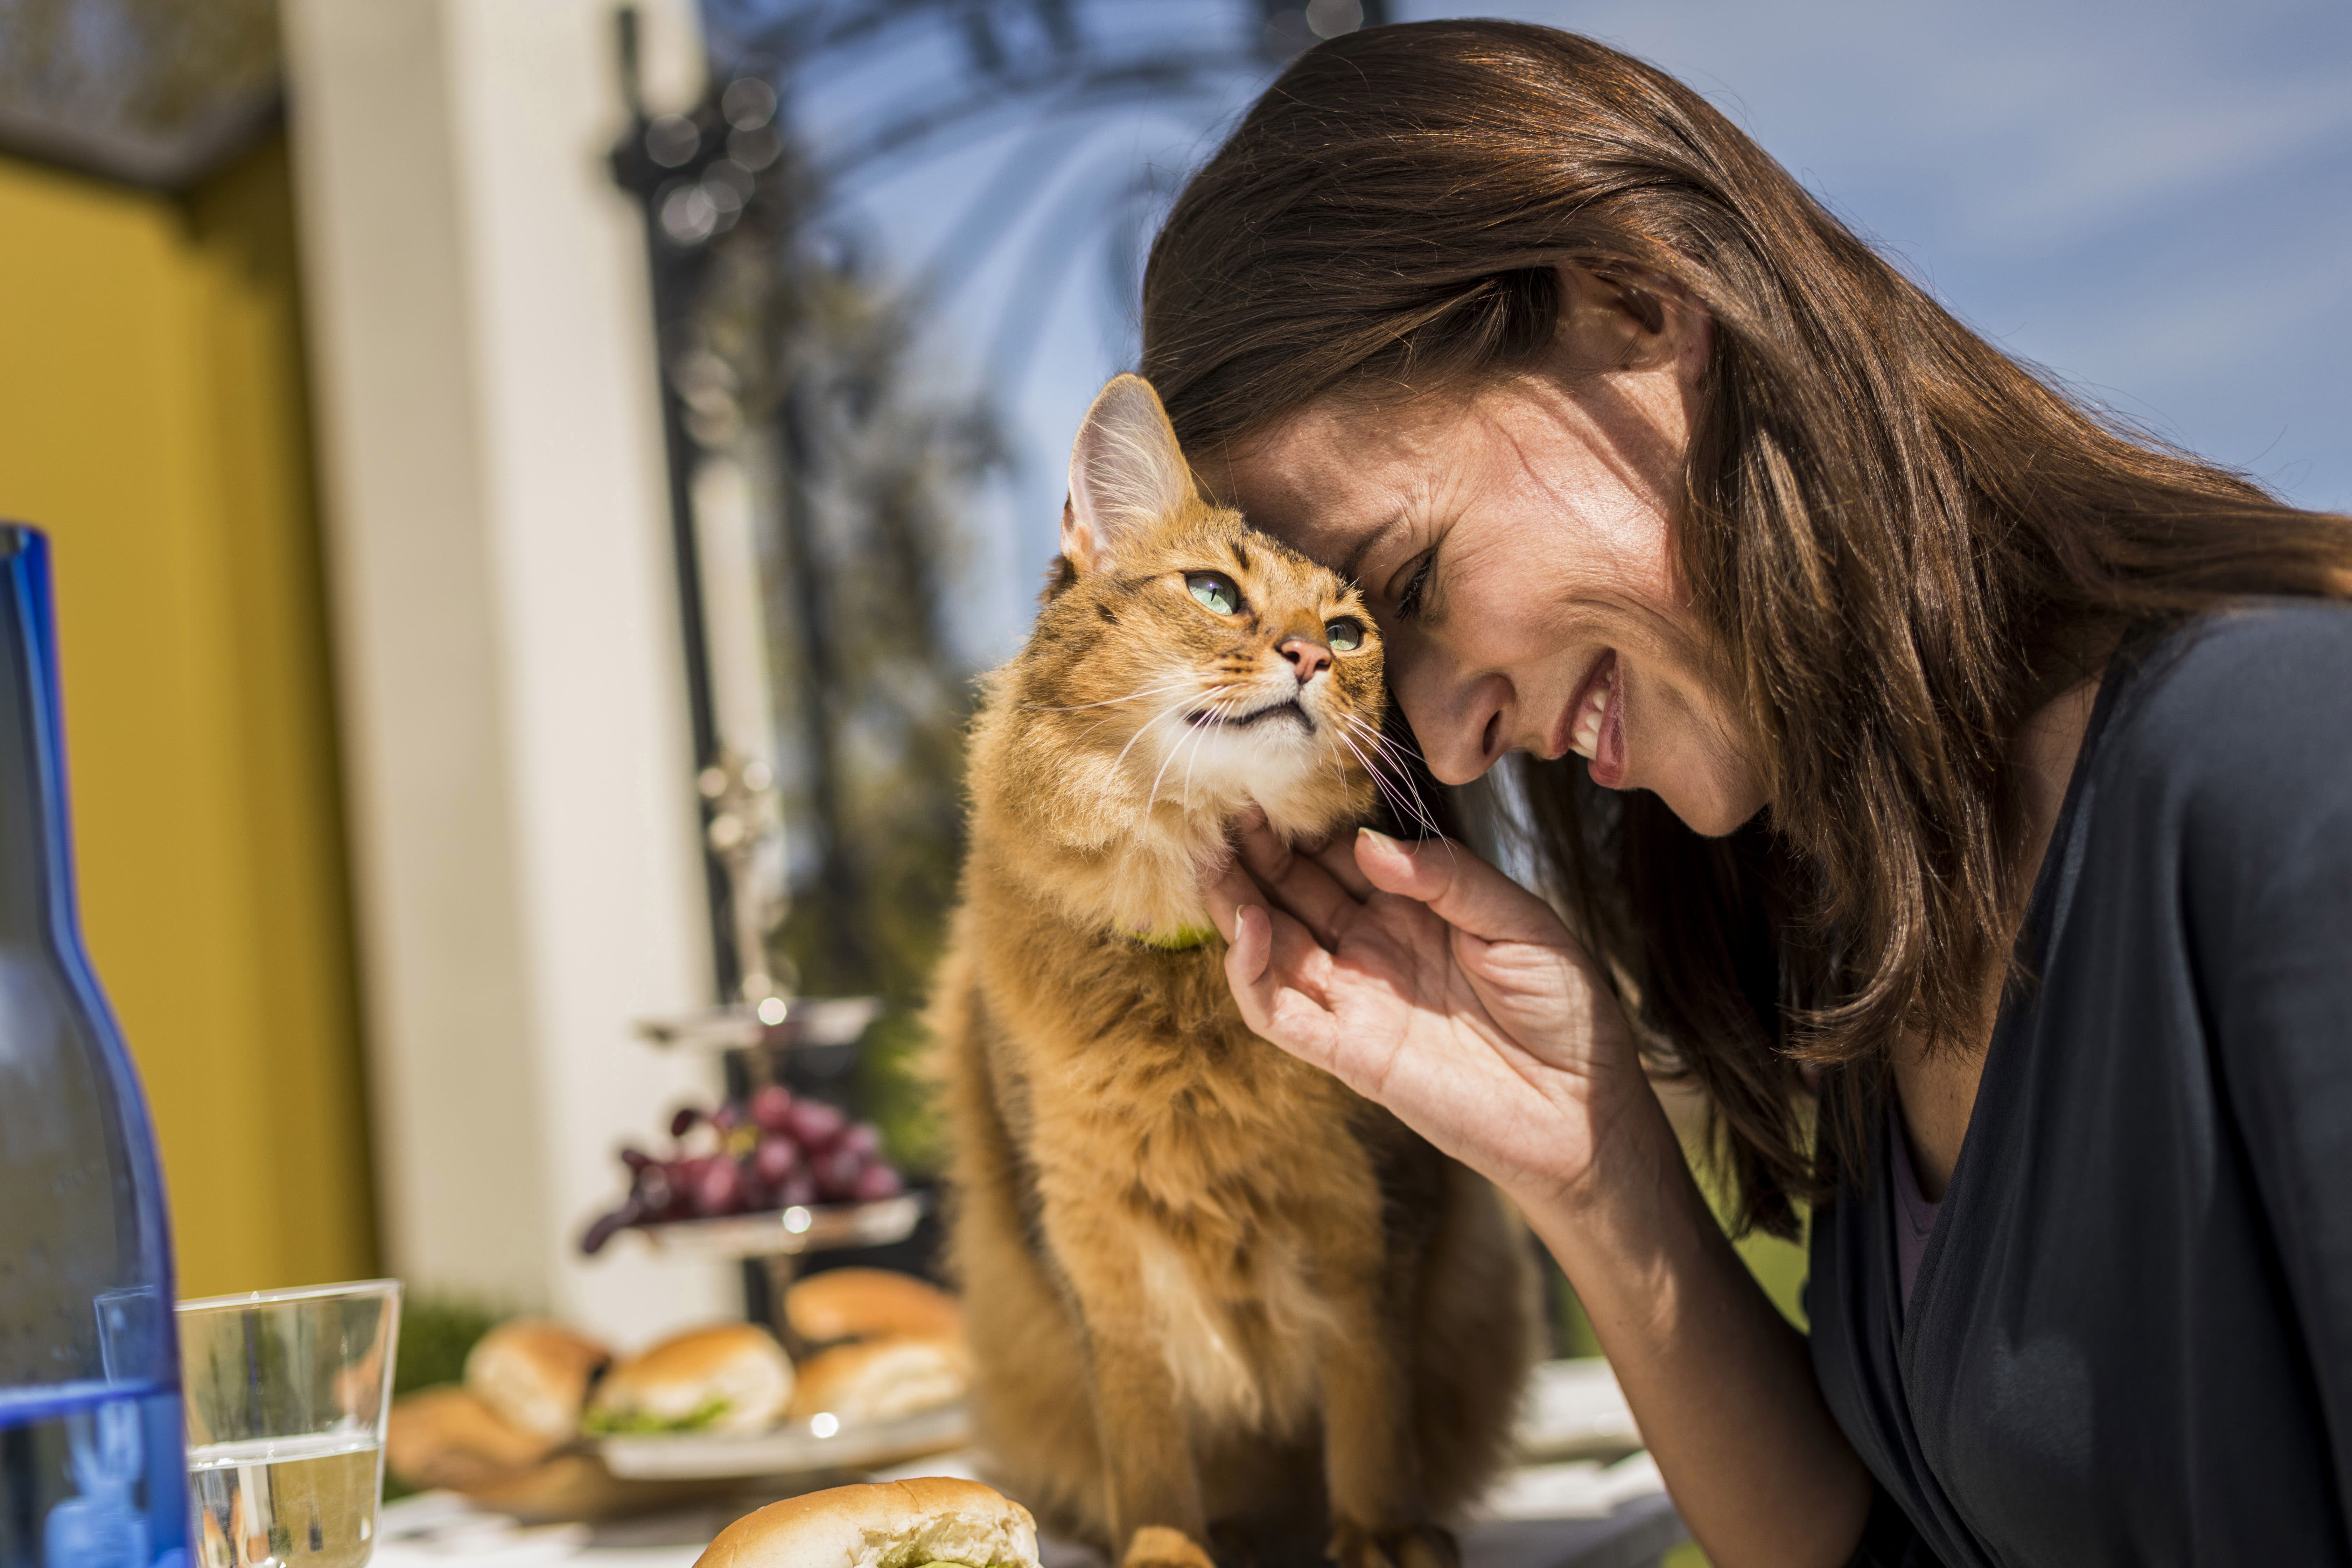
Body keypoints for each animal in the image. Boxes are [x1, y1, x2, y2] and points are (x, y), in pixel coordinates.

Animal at [936, 376, 1543, 1568]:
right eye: (1215, 593)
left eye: (1347, 631)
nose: (1309, 658)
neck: (1187, 978)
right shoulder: (1084, 1224)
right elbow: (1142, 1427)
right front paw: (1165, 1548)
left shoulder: (1372, 1207)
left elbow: (1366, 1389)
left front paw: (1381, 1533)